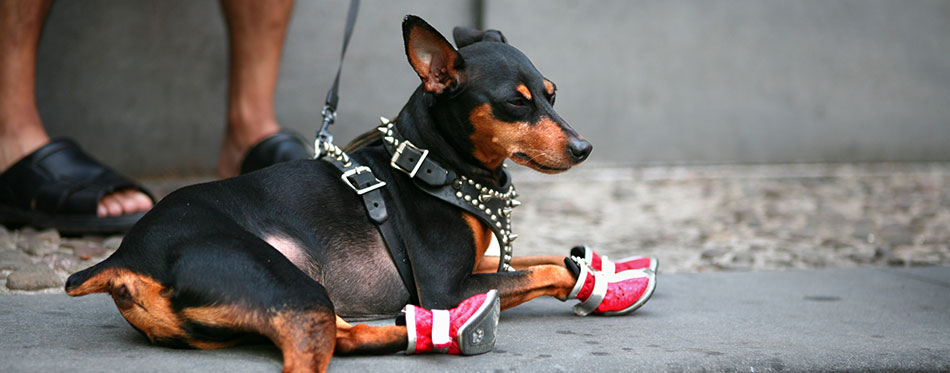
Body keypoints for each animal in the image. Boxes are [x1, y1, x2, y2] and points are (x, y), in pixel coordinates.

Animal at [65, 15, 656, 372]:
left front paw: (606, 273)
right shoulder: (445, 284)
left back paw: (433, 331)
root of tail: (124, 259)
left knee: (344, 335)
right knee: (315, 351)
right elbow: (547, 269)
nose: (584, 148)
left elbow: (542, 257)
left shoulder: (478, 266)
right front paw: (587, 281)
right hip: (287, 283)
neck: (432, 163)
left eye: (552, 95)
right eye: (517, 103)